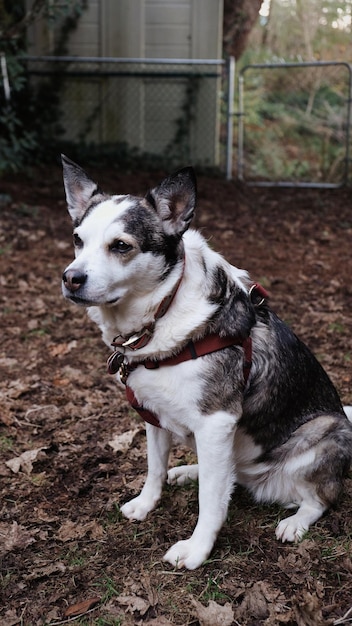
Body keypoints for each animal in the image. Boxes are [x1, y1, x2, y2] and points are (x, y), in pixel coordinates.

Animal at [60, 154, 352, 568]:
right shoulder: (153, 413)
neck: (162, 312)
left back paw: (295, 522)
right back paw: (189, 471)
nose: (71, 279)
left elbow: (211, 502)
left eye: (120, 245)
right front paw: (146, 504)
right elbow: (155, 468)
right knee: (229, 473)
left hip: (326, 434)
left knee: (319, 499)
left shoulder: (216, 422)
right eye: (77, 239)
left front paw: (197, 549)